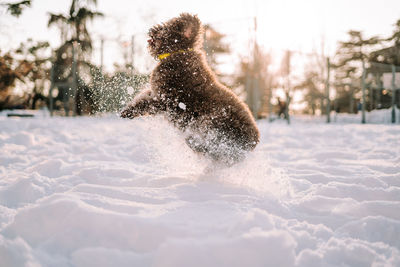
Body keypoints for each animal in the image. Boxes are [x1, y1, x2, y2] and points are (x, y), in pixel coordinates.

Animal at [121, 14, 260, 165]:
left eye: (165, 28)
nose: (151, 30)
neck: (179, 53)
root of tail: (254, 142)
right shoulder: (155, 92)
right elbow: (141, 99)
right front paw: (127, 111)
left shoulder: (168, 100)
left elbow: (147, 104)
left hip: (212, 123)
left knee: (212, 148)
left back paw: (193, 142)